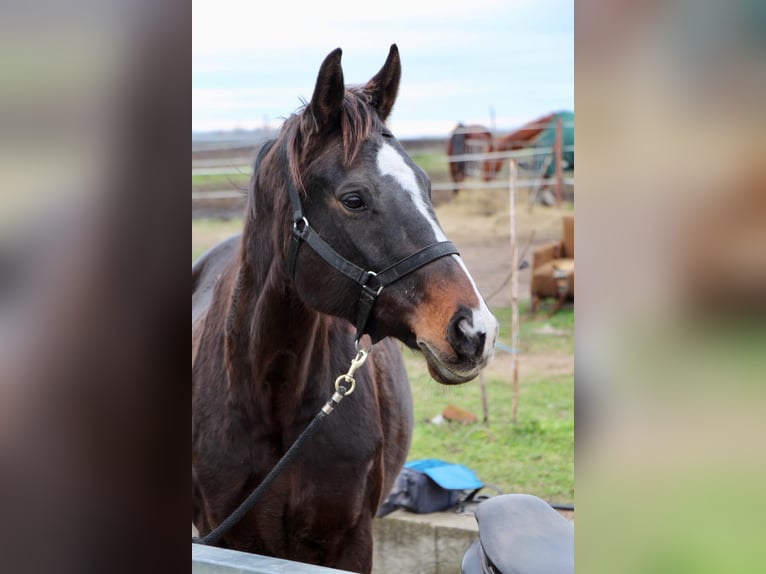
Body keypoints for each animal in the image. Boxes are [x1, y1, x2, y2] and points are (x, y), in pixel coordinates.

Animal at [194, 46, 498, 574]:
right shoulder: (224, 539)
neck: (270, 390)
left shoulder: (349, 541)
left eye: (426, 185)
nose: (476, 331)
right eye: (353, 199)